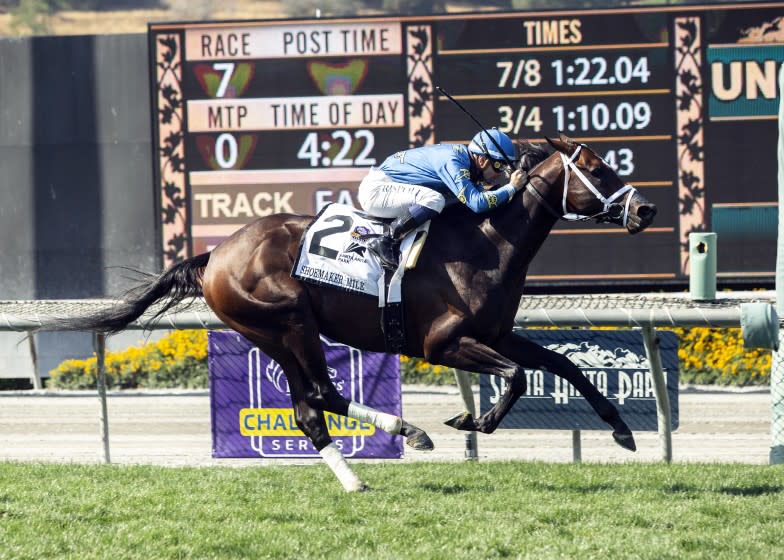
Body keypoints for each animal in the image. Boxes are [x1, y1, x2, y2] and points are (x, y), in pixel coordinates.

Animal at [43, 135, 656, 490]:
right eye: (599, 169)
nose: (646, 209)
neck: (486, 242)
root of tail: (216, 253)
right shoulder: (443, 344)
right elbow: (519, 377)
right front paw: (472, 421)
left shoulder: (498, 333)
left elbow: (563, 364)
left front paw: (622, 429)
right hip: (289, 321)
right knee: (319, 395)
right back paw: (404, 436)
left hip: (272, 335)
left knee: (312, 407)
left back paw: (363, 472)